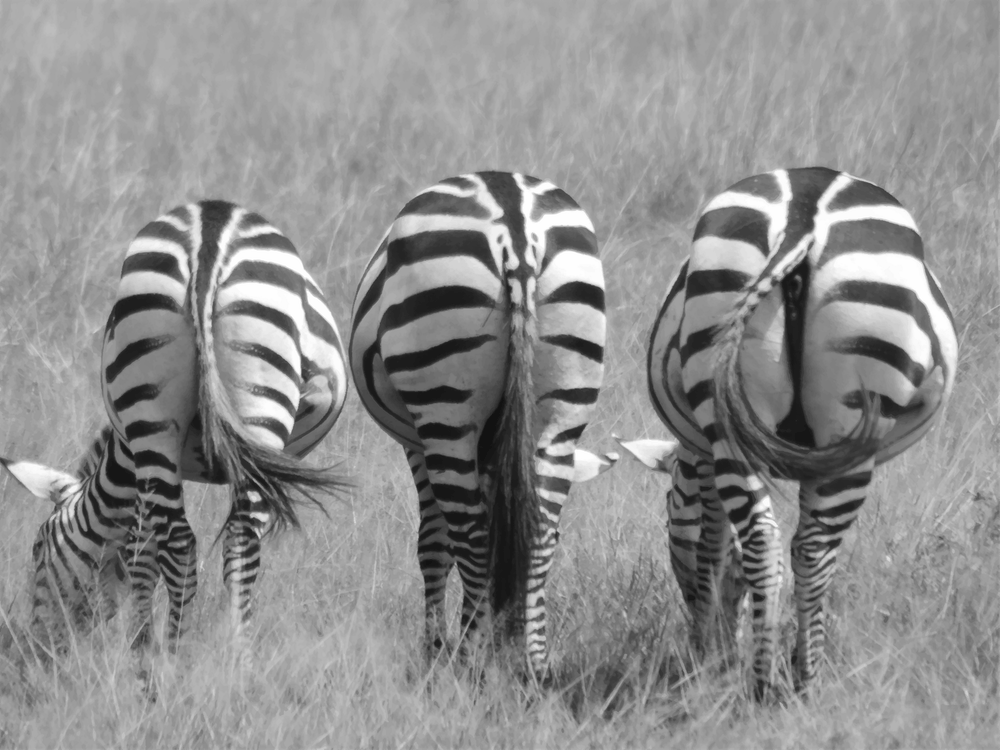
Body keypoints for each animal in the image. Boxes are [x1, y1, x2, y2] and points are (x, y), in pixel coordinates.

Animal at [0, 200, 349, 659]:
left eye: (38, 546)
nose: (35, 651)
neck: (119, 461)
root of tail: (209, 234)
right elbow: (144, 553)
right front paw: (144, 645)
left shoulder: (137, 470)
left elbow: (140, 553)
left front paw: (140, 645)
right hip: (250, 407)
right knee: (232, 541)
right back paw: (216, 657)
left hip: (154, 414)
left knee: (184, 543)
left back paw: (174, 662)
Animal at [349, 171, 611, 680]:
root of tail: (515, 223)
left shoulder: (417, 442)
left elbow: (433, 543)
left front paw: (435, 649)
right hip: (564, 404)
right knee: (538, 530)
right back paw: (532, 664)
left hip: (444, 406)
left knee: (469, 536)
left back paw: (468, 662)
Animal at [616, 167, 958, 699]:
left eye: (669, 505)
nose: (699, 644)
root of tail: (803, 213)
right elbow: (722, 551)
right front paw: (721, 657)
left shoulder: (705, 452)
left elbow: (719, 551)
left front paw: (721, 656)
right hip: (852, 420)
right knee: (811, 551)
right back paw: (800, 682)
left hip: (728, 399)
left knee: (766, 541)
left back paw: (764, 681)